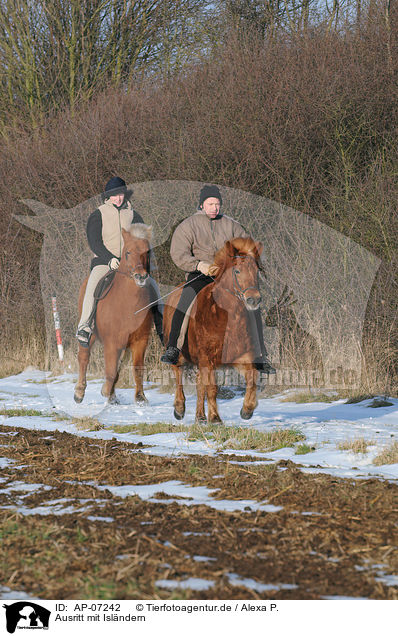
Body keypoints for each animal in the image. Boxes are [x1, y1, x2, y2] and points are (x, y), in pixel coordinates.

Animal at [74, 225, 154, 402]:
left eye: (147, 252)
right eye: (128, 252)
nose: (141, 277)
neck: (129, 303)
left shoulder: (140, 341)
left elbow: (137, 368)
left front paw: (140, 398)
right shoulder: (111, 342)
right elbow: (110, 370)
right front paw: (107, 394)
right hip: (90, 334)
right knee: (84, 357)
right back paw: (79, 392)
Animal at [163, 236, 266, 424]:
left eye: (257, 272)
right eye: (237, 271)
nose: (253, 300)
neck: (227, 317)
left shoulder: (241, 357)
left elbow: (252, 379)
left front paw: (247, 410)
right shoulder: (207, 358)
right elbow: (212, 388)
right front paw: (216, 418)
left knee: (199, 384)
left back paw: (200, 417)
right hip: (180, 355)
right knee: (178, 376)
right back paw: (180, 409)